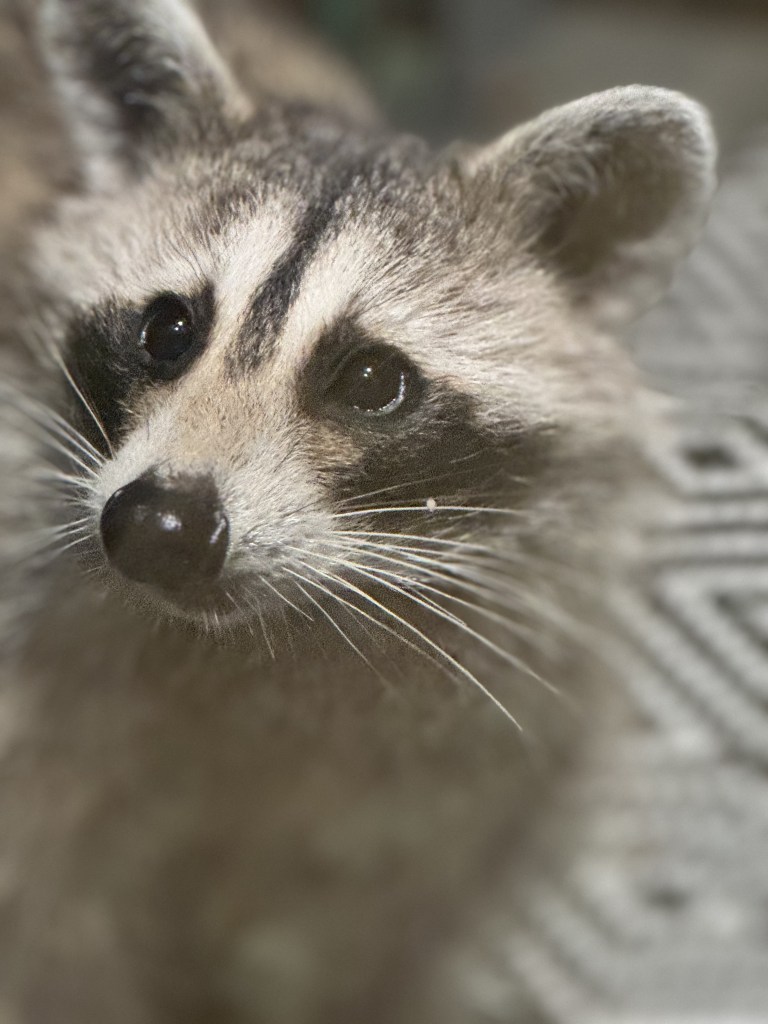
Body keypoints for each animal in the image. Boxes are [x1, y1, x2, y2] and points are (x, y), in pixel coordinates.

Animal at [0, 1, 716, 1022]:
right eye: (166, 329)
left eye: (373, 379)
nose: (159, 527)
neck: (261, 642)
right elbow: (55, 933)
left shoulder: (460, 777)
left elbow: (361, 938)